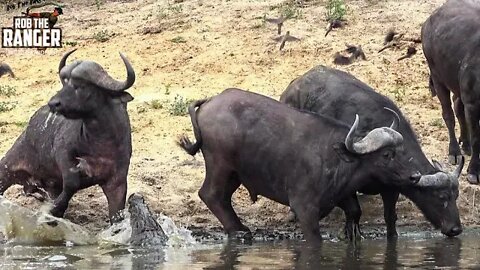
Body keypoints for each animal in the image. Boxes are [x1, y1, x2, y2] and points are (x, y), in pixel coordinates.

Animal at [0, 49, 136, 223]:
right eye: (65, 83)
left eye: (80, 86)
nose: (53, 103)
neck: (102, 143)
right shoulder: (63, 155)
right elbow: (71, 183)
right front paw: (54, 209)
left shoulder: (117, 183)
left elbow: (117, 214)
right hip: (6, 168)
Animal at [178, 88, 434, 243]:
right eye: (387, 154)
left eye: (401, 151)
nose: (414, 176)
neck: (335, 157)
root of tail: (210, 102)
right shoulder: (305, 207)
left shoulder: (340, 196)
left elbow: (354, 213)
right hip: (220, 165)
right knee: (210, 194)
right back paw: (239, 230)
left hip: (236, 174)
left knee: (221, 197)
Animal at [280, 65, 464, 238]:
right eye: (441, 197)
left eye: (456, 196)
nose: (455, 229)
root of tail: (293, 85)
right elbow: (354, 212)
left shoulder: (391, 189)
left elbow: (390, 218)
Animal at [422, 0, 480, 184]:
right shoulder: (472, 104)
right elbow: (477, 138)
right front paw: (474, 170)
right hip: (438, 78)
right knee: (448, 114)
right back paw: (454, 151)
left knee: (457, 107)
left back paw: (465, 144)